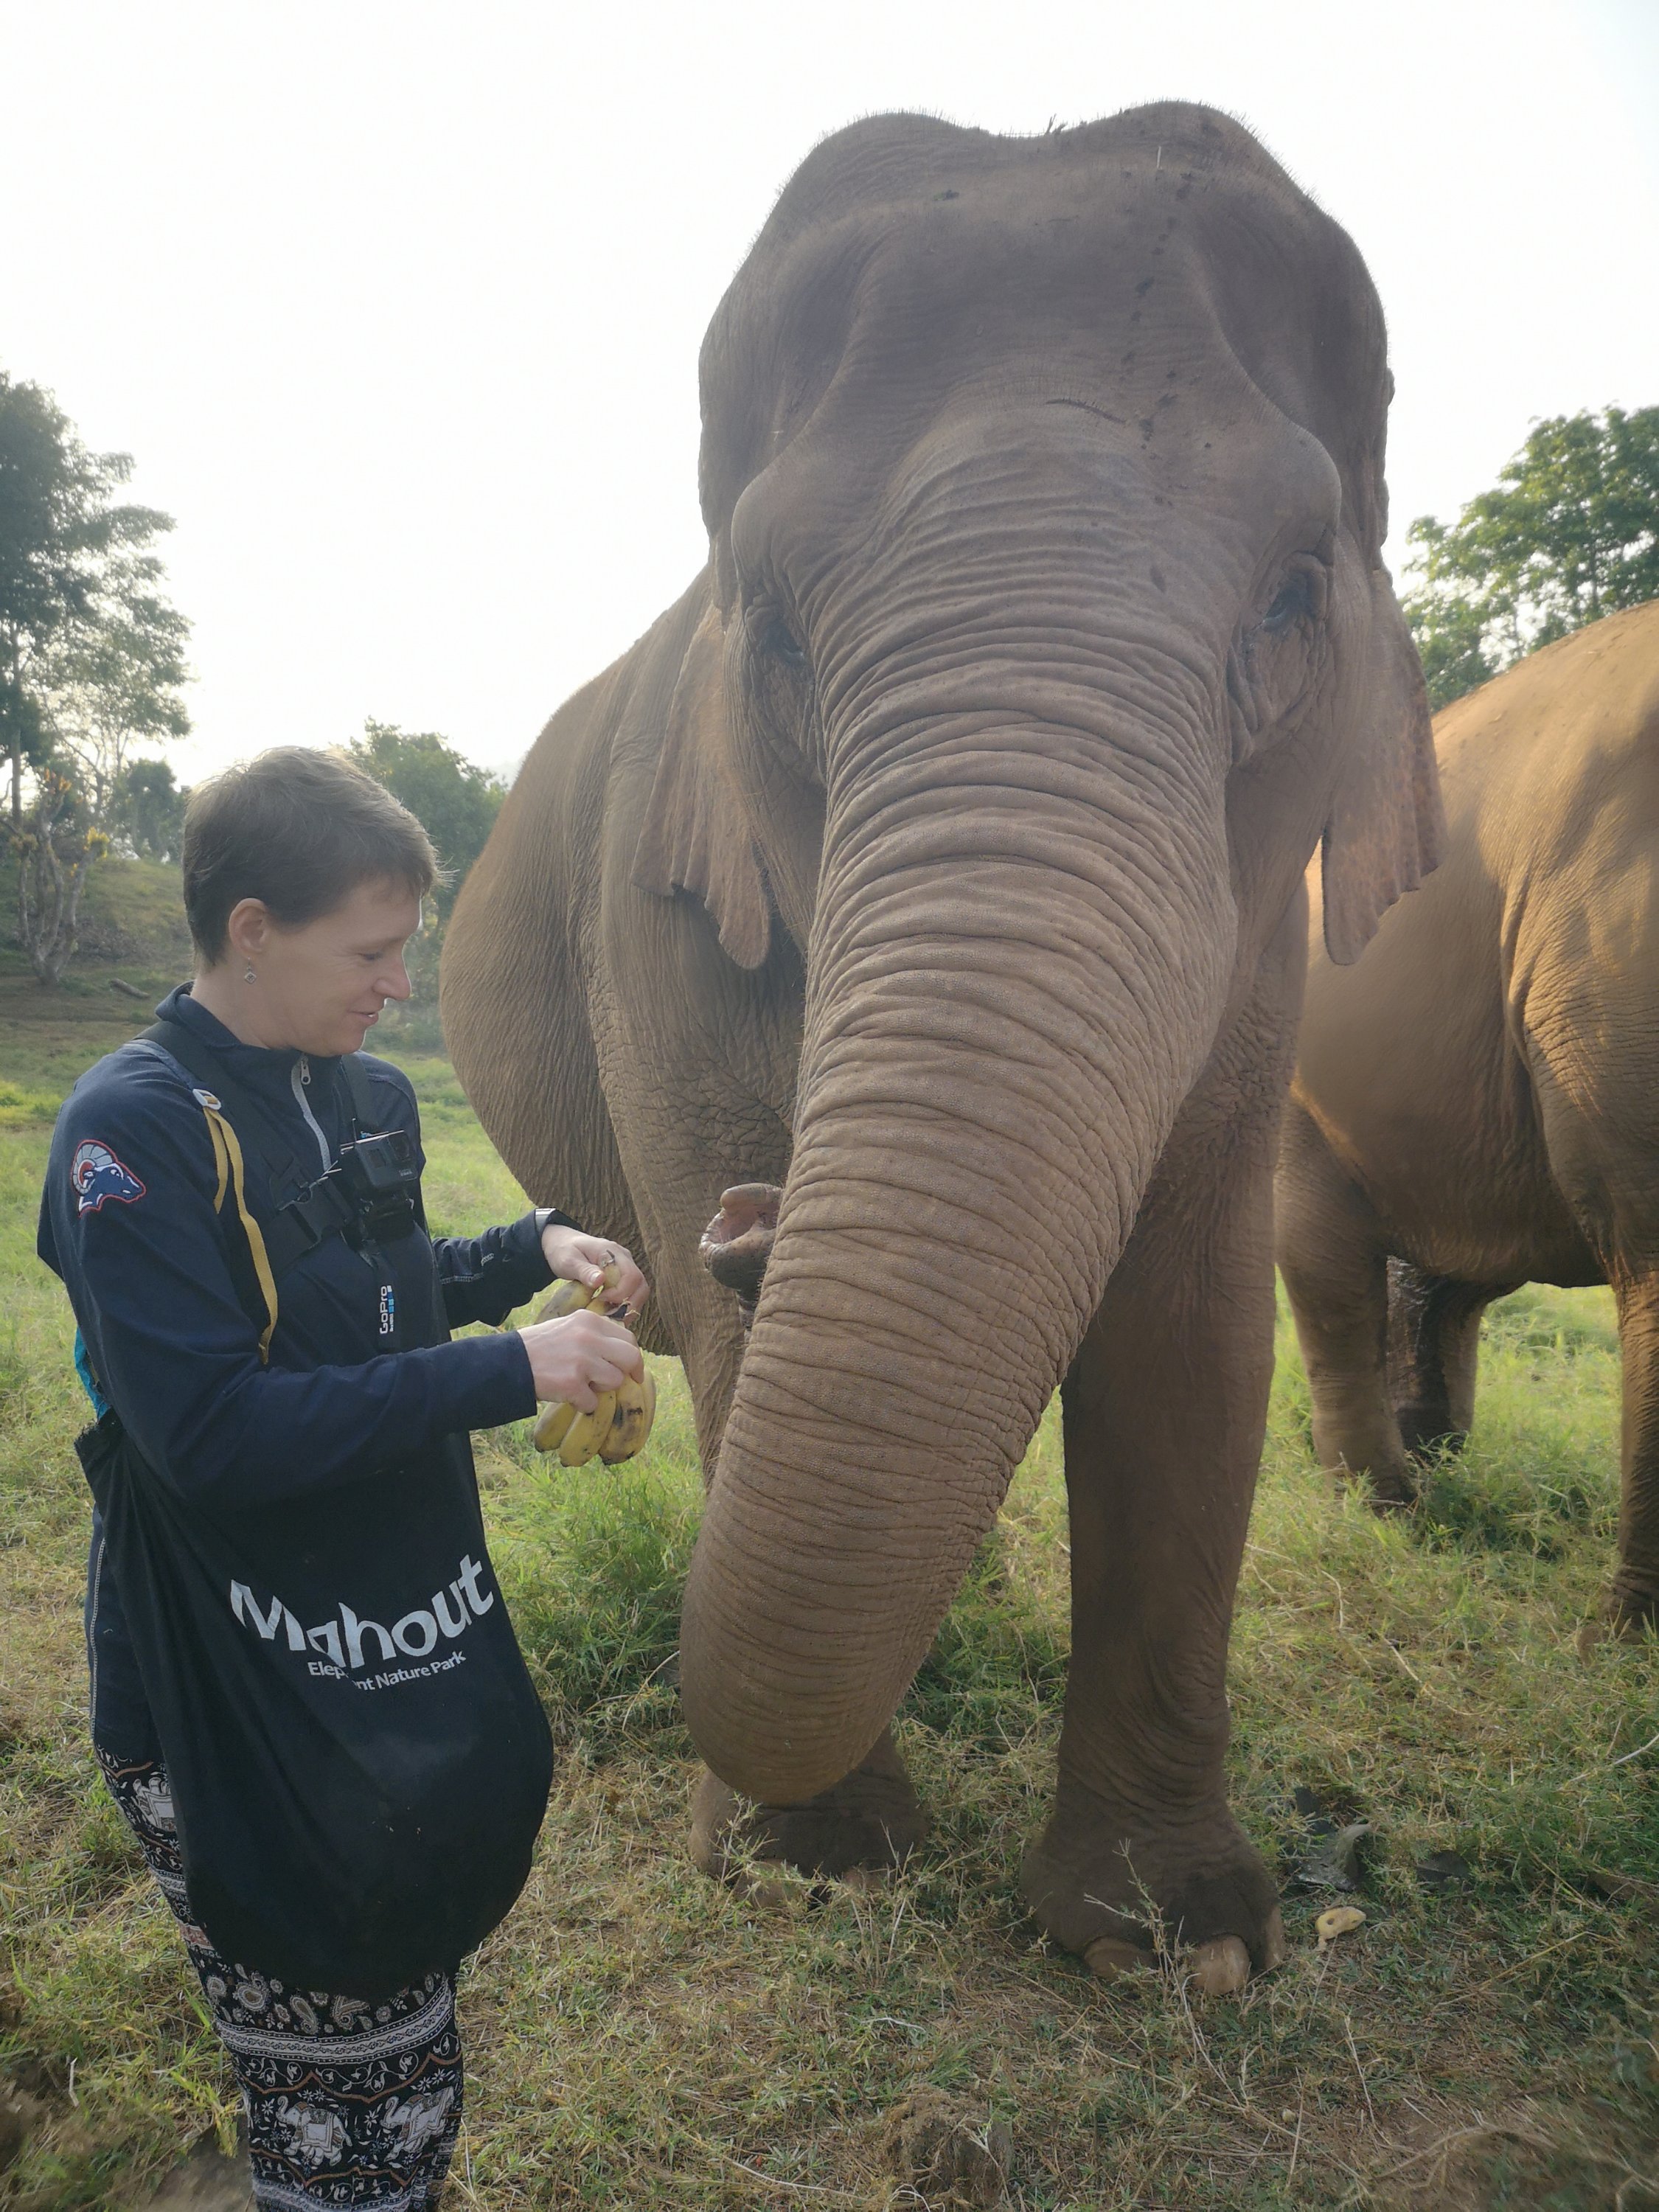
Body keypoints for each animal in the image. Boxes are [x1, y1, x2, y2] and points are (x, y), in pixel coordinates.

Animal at [440, 102, 1441, 1992]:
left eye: (1294, 597)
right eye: (764, 625)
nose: (745, 1223)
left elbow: (1192, 1326)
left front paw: (1177, 1950)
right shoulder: (651, 905)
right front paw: (812, 1876)